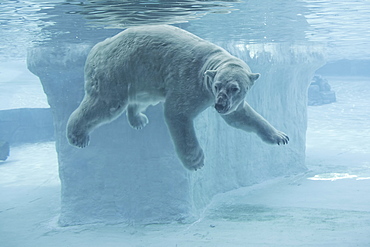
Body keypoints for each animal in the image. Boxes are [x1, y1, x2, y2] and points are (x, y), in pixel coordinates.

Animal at [68, 26, 290, 171]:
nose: (219, 105)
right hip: (116, 69)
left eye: (235, 88)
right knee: (106, 104)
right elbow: (177, 112)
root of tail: (97, 47)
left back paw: (138, 119)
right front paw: (196, 160)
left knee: (140, 99)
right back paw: (77, 136)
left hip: (141, 77)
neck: (210, 62)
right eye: (217, 86)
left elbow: (240, 116)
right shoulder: (191, 82)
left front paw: (280, 136)